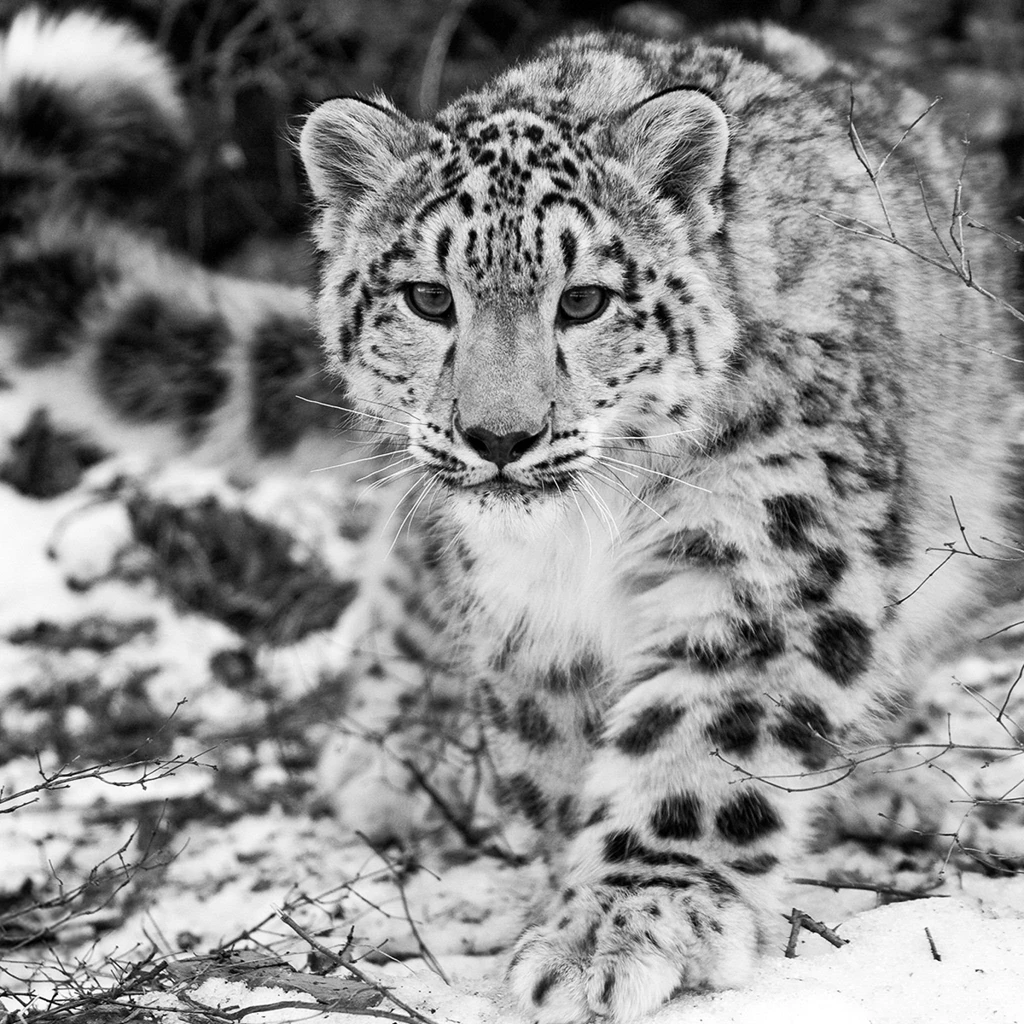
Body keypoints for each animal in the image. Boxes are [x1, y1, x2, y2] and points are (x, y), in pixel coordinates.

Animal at [1, 6, 1020, 1024]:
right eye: (427, 297)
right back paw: (393, 758)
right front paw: (572, 901)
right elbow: (555, 754)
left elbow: (703, 737)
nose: (500, 436)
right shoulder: (525, 614)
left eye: (584, 301)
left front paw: (629, 921)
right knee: (406, 574)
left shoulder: (765, 550)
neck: (583, 539)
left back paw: (886, 787)